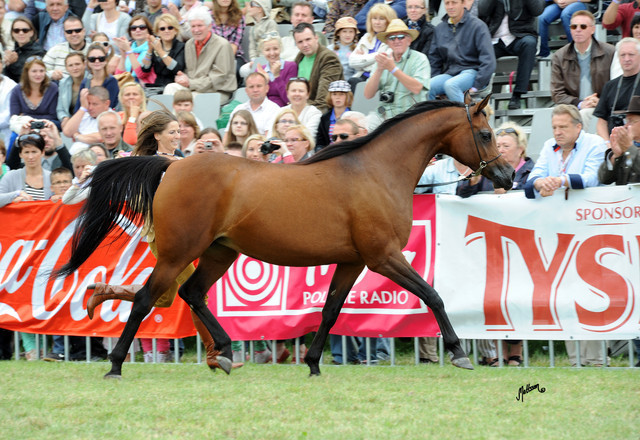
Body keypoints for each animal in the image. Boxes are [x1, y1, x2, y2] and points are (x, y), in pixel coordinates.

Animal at [54, 95, 514, 378]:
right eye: (486, 133)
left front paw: (312, 363)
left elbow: (330, 312)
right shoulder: (383, 256)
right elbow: (432, 294)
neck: (377, 171)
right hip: (178, 252)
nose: (507, 175)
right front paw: (459, 353)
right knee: (148, 298)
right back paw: (115, 363)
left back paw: (224, 353)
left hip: (218, 252)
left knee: (191, 294)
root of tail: (173, 164)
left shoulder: (353, 261)